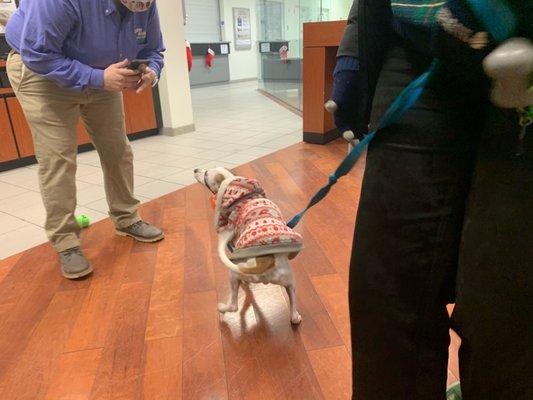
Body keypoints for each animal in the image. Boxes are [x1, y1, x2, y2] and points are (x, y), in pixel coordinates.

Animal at [194, 166, 304, 324]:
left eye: (206, 174)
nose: (195, 169)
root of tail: (265, 260)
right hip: (290, 282)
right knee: (293, 309)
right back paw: (295, 316)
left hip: (233, 275)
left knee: (233, 306)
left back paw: (222, 308)